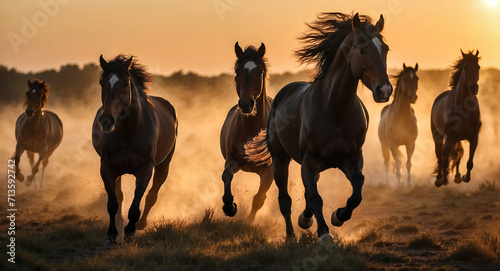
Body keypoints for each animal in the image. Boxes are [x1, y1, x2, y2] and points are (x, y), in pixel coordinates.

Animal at [92, 55, 178, 246]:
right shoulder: (106, 167)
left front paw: (130, 232)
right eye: (101, 82)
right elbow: (113, 203)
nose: (106, 120)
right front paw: (112, 235)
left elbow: (137, 200)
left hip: (164, 166)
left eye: (125, 83)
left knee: (152, 195)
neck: (129, 130)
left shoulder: (145, 169)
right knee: (120, 196)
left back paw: (141, 224)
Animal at [220, 42, 274, 223]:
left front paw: (248, 223)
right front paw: (229, 207)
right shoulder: (233, 160)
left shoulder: (268, 170)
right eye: (238, 72)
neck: (251, 129)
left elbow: (259, 199)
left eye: (260, 72)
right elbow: (226, 175)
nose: (245, 104)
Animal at [244, 13, 392, 242]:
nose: (384, 90)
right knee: (285, 200)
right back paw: (291, 235)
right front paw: (324, 233)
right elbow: (315, 197)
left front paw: (338, 216)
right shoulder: (309, 160)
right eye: (361, 49)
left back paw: (305, 220)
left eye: (385, 49)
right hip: (280, 160)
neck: (335, 110)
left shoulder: (351, 158)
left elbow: (357, 191)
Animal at [430, 50, 480, 188]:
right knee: (440, 156)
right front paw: (442, 180)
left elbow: (470, 162)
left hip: (456, 139)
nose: (474, 88)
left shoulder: (474, 137)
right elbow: (445, 160)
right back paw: (439, 179)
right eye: (465, 68)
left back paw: (457, 177)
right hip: (438, 136)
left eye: (478, 67)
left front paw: (464, 177)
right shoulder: (449, 135)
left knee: (456, 155)